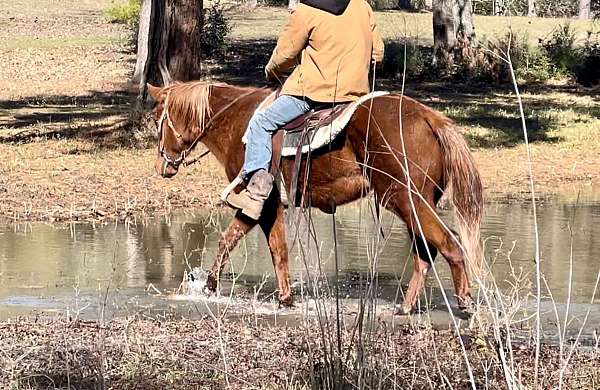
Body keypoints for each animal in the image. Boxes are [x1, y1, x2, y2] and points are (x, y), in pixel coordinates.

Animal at [148, 81, 486, 314]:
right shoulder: (264, 204)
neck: (239, 121)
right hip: (415, 202)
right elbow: (234, 241)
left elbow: (272, 249)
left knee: (449, 244)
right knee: (425, 252)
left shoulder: (262, 201)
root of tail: (430, 118)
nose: (162, 165)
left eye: (156, 117)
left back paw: (464, 303)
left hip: (405, 199)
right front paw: (214, 285)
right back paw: (406, 306)